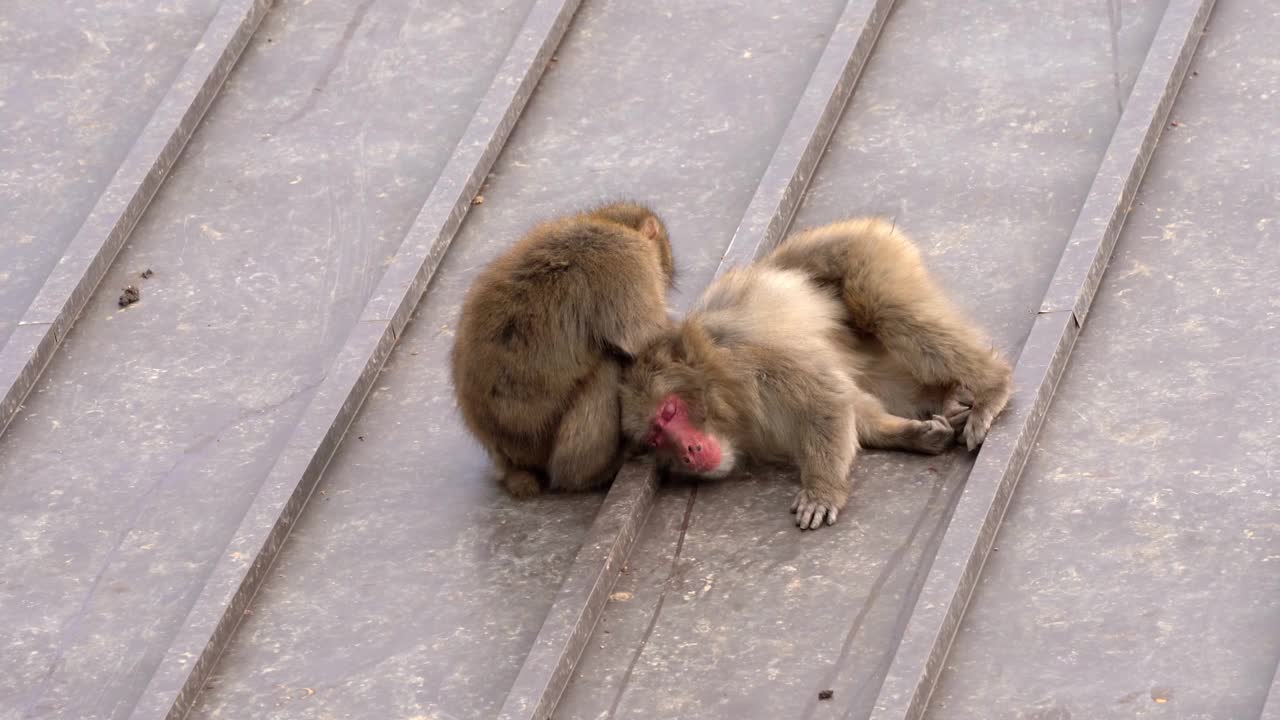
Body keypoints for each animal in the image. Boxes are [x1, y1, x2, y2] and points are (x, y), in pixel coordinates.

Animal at [448, 198, 675, 497]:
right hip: (538, 447)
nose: (665, 276)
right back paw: (587, 474)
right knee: (608, 369)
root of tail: (500, 452)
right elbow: (645, 340)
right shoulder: (628, 259)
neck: (607, 224)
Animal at [616, 213, 1008, 527]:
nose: (687, 451)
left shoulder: (746, 358)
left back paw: (992, 386)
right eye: (656, 437)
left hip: (867, 253)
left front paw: (823, 489)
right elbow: (845, 400)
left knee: (885, 308)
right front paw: (910, 434)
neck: (727, 401)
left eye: (670, 411)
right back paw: (948, 397)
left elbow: (824, 397)